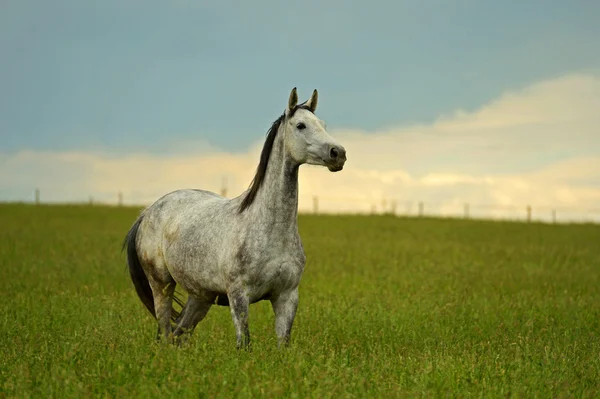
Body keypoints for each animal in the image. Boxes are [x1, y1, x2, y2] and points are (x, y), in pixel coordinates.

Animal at [122, 88, 346, 350]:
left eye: (323, 124)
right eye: (301, 125)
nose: (338, 154)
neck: (270, 228)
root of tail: (147, 212)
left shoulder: (287, 297)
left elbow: (283, 344)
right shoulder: (238, 296)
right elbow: (244, 343)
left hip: (200, 296)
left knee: (179, 334)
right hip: (161, 285)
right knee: (166, 332)